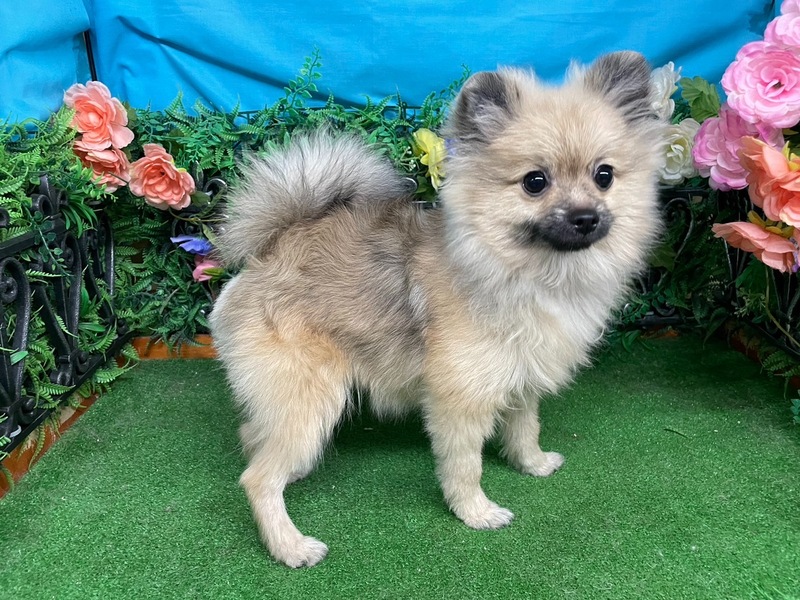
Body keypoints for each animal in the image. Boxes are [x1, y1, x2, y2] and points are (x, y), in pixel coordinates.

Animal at [209, 51, 664, 567]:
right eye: (535, 182)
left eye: (604, 175)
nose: (585, 217)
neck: (523, 271)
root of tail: (269, 252)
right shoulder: (460, 398)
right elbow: (465, 465)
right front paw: (475, 512)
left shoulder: (521, 375)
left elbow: (525, 427)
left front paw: (531, 463)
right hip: (308, 398)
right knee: (257, 477)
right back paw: (290, 545)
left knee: (254, 436)